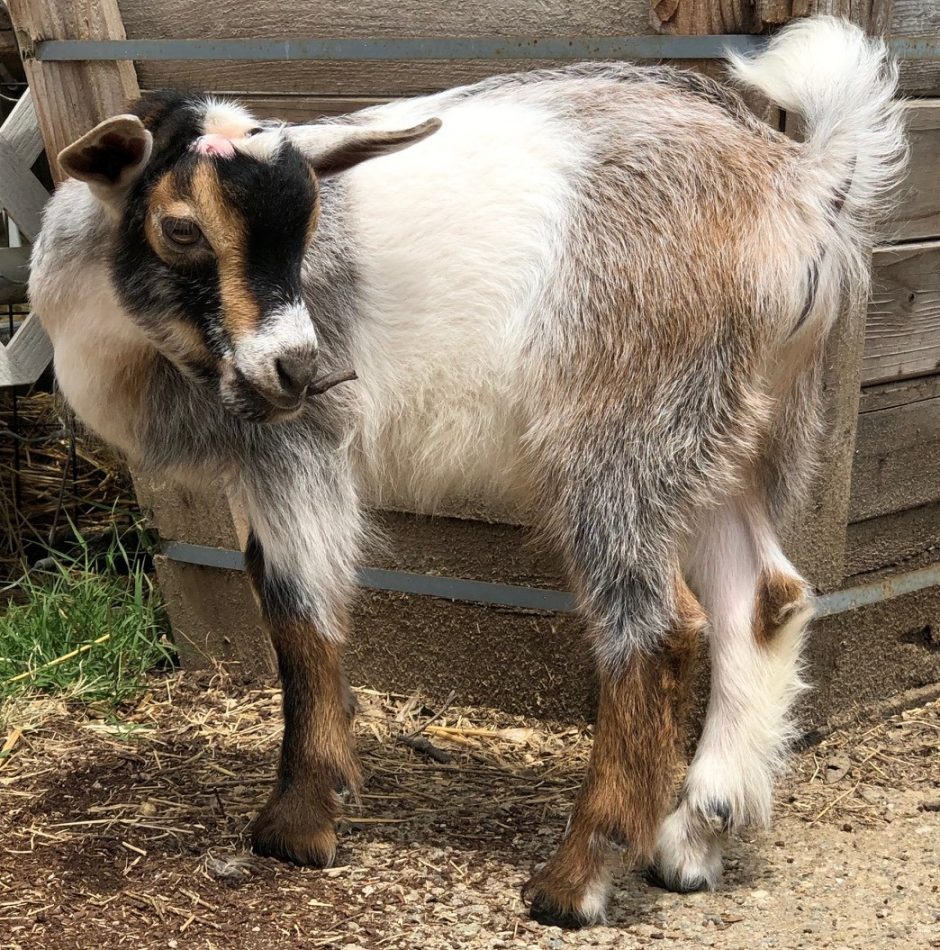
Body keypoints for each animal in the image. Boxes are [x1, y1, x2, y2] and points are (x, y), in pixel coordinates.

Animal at [30, 17, 905, 927]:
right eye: (181, 228)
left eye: (306, 225)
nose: (301, 368)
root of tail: (798, 187)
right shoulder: (253, 459)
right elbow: (268, 588)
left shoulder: (297, 448)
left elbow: (299, 611)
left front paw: (298, 826)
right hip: (720, 436)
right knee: (764, 600)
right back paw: (694, 841)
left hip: (622, 429)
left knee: (658, 628)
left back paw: (575, 880)